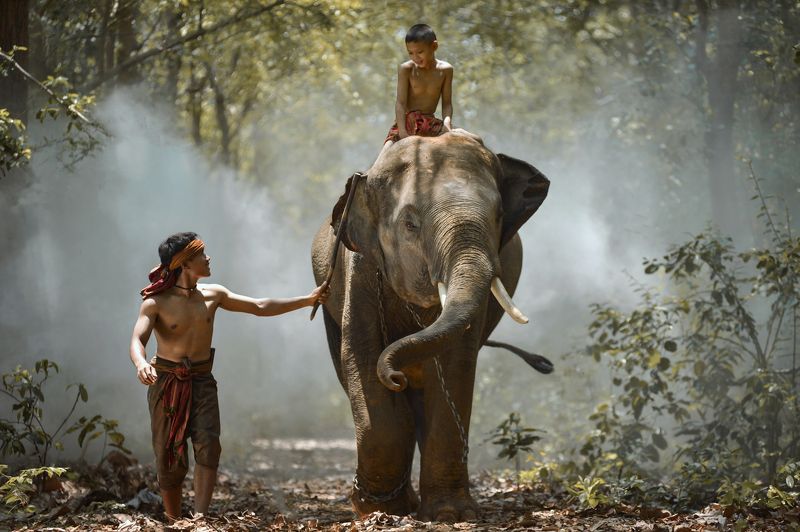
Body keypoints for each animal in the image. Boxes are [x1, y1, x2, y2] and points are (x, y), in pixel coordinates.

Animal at [311, 131, 549, 522]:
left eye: (499, 215)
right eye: (410, 224)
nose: (395, 375)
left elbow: (456, 364)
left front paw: (450, 514)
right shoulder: (359, 270)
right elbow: (361, 358)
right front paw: (378, 508)